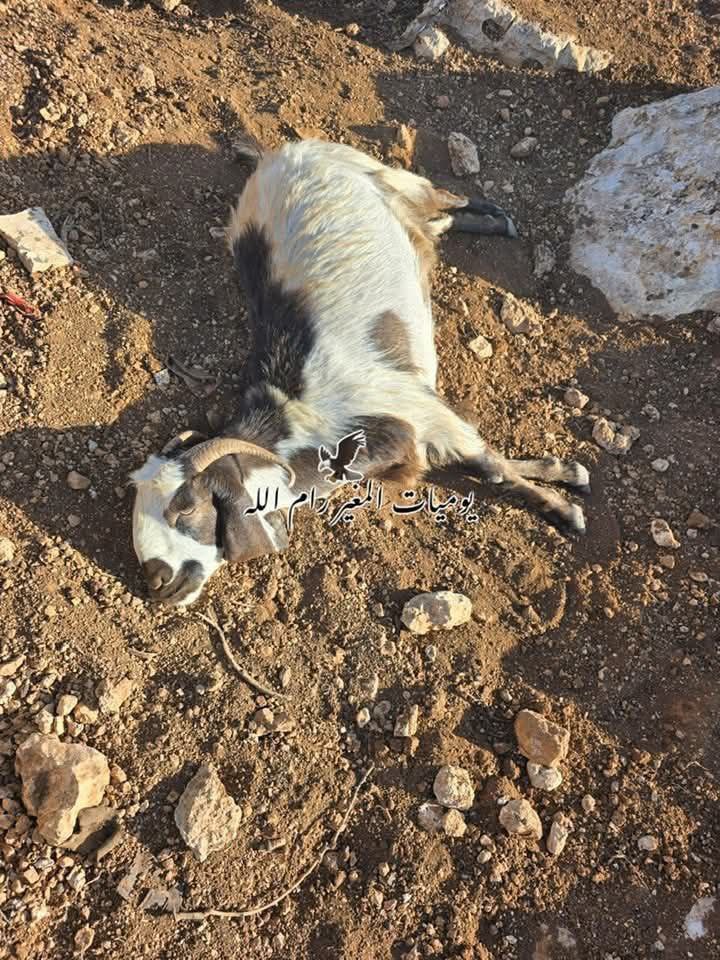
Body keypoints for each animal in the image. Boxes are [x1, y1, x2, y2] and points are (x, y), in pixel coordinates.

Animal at [130, 137, 590, 606]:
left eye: (186, 505)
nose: (157, 580)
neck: (306, 416)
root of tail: (278, 155)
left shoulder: (422, 410)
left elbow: (493, 468)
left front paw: (565, 510)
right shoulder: (420, 437)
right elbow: (481, 463)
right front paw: (564, 471)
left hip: (387, 173)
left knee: (444, 197)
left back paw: (499, 220)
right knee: (434, 222)